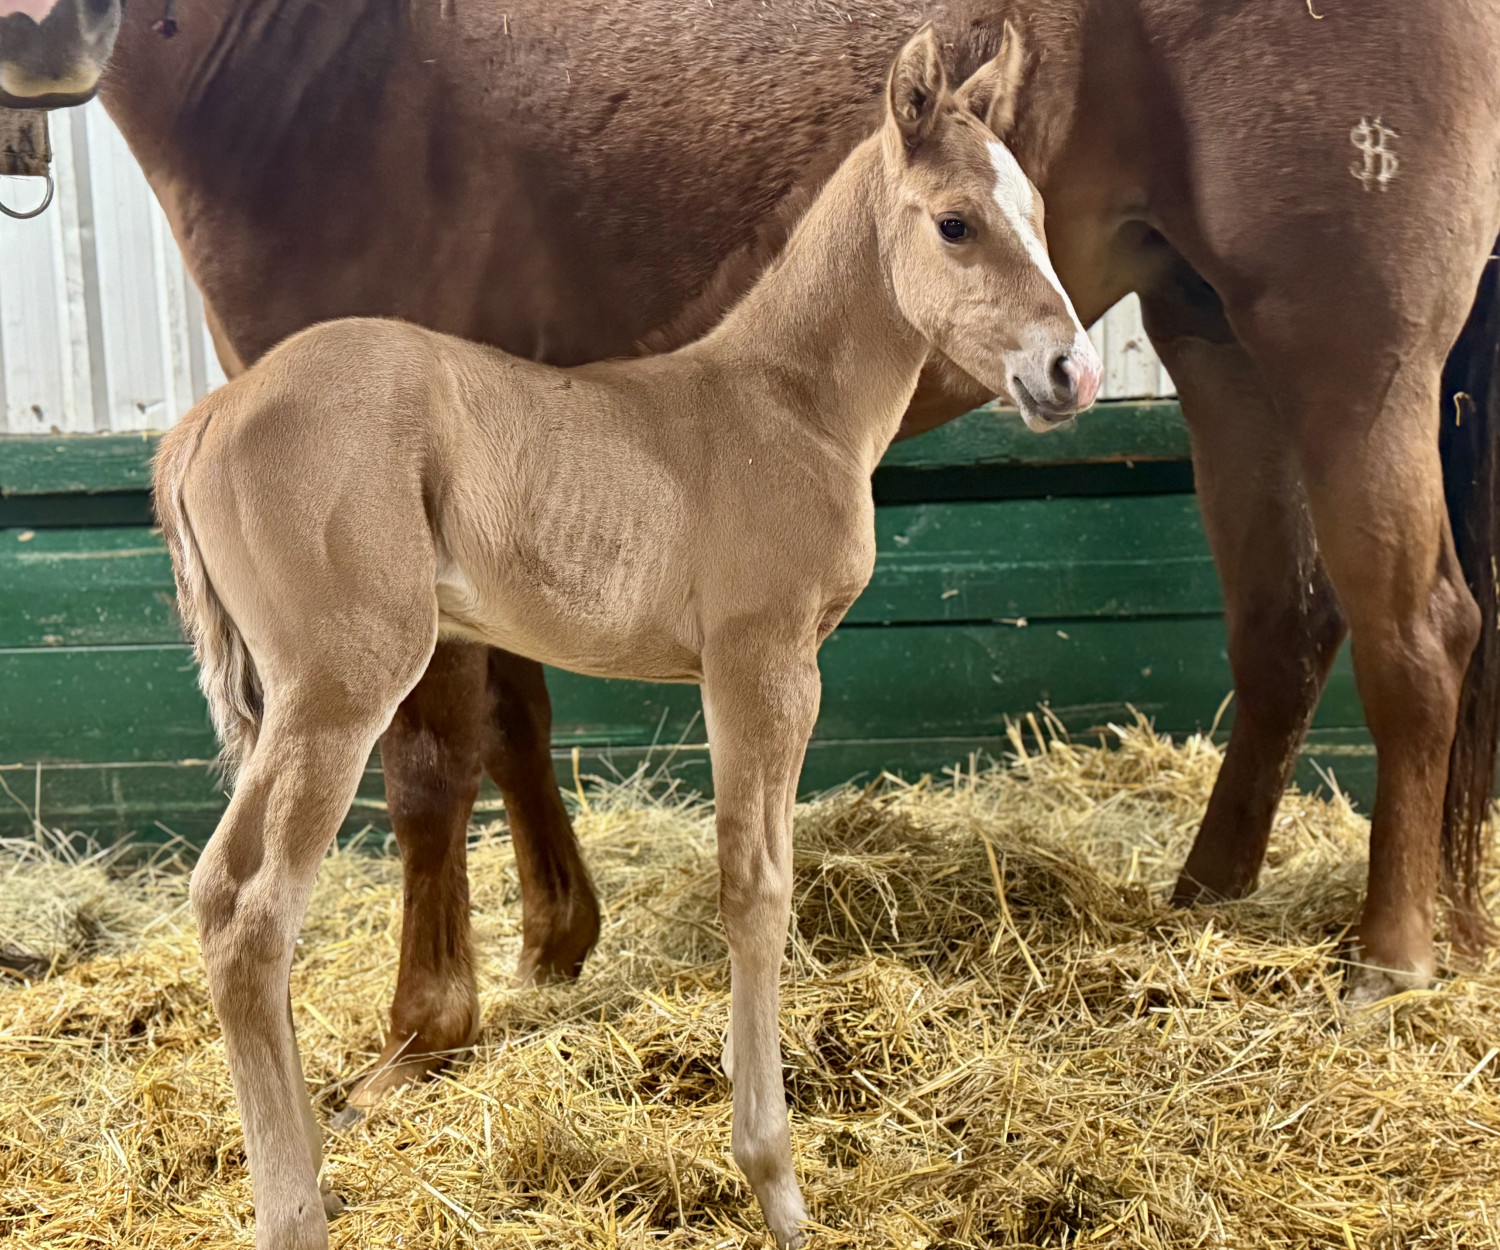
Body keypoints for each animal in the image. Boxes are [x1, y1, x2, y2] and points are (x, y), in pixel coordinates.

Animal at [10, 0, 1500, 1104]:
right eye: (958, 221)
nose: (41, 36)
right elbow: (512, 719)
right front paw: (549, 946)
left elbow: (440, 759)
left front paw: (425, 1027)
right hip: (1213, 335)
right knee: (1286, 625)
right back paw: (1205, 899)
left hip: (1346, 344)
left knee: (1416, 631)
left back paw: (1391, 955)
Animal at [151, 32, 1093, 1246]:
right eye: (956, 223)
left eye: (1036, 208)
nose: (1072, 371)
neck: (786, 404)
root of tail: (208, 416)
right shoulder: (763, 665)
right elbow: (755, 889)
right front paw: (776, 1182)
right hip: (340, 686)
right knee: (247, 905)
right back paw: (295, 1206)